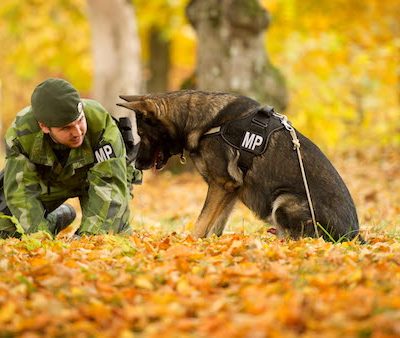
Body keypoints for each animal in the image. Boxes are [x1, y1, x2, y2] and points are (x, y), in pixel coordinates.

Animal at [117, 91, 360, 242]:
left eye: (142, 134)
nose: (136, 163)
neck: (203, 123)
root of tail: (354, 236)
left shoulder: (221, 185)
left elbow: (201, 221)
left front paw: (189, 244)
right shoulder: (230, 190)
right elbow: (215, 225)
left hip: (284, 201)